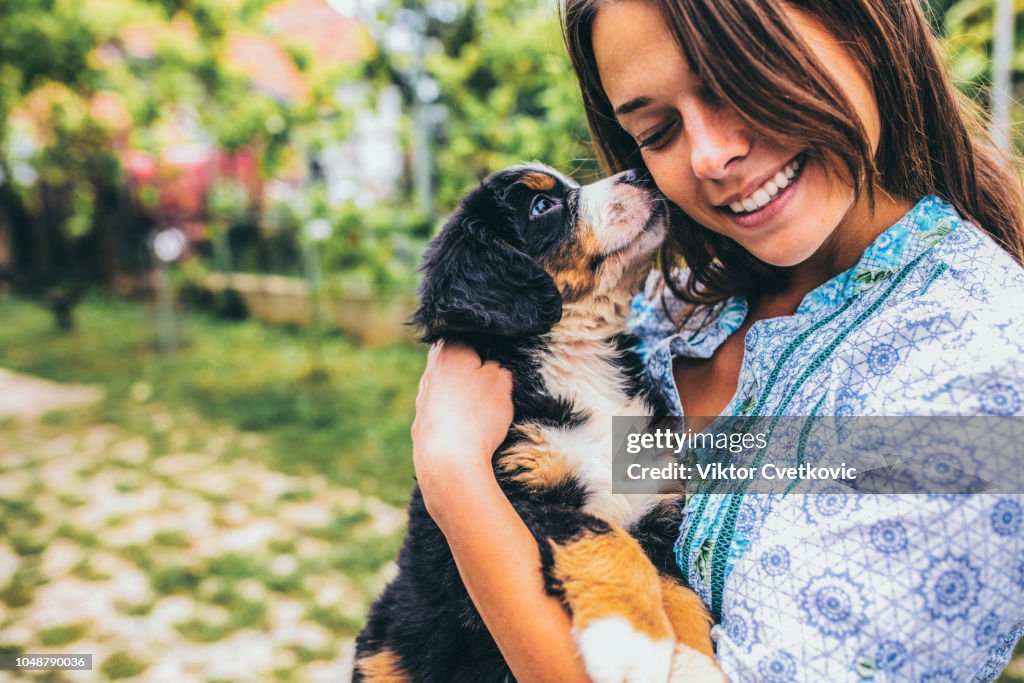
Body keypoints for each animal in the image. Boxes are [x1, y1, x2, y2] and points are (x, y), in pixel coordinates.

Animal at [356, 165, 724, 683]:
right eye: (541, 206)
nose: (640, 174)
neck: (582, 362)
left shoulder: (654, 504)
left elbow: (680, 592)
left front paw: (694, 664)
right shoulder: (520, 494)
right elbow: (605, 540)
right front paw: (630, 643)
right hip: (384, 651)